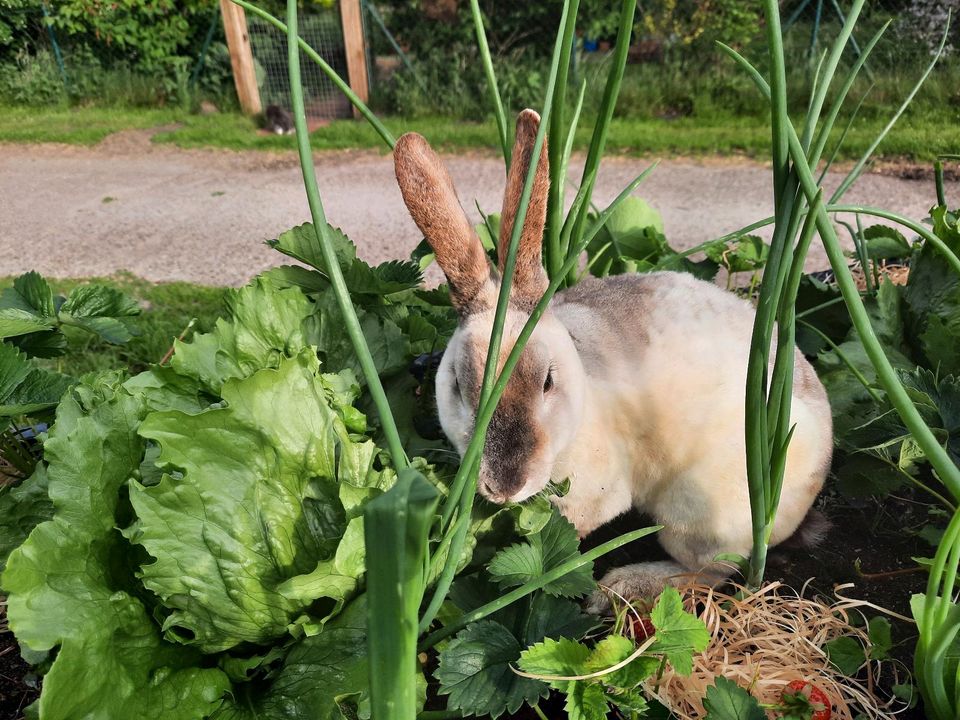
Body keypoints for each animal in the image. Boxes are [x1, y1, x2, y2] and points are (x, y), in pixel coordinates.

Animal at [390, 108, 832, 612]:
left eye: (547, 381)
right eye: (458, 386)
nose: (505, 487)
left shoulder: (595, 495)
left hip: (700, 517)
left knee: (713, 572)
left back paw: (619, 588)